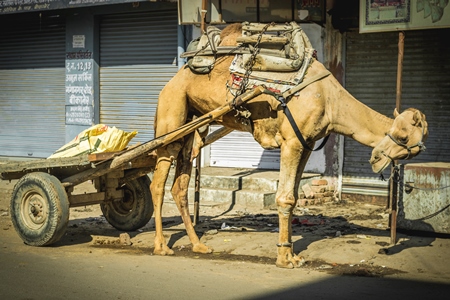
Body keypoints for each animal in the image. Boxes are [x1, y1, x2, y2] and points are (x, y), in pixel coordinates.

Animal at [149, 22, 428, 268]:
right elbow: (284, 198)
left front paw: (293, 254)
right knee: (158, 180)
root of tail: (173, 80)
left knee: (180, 184)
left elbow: (293, 198)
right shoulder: (291, 141)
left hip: (193, 124)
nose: (376, 158)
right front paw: (284, 259)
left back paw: (198, 245)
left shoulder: (307, 143)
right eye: (404, 138)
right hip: (173, 110)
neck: (331, 101)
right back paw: (161, 246)